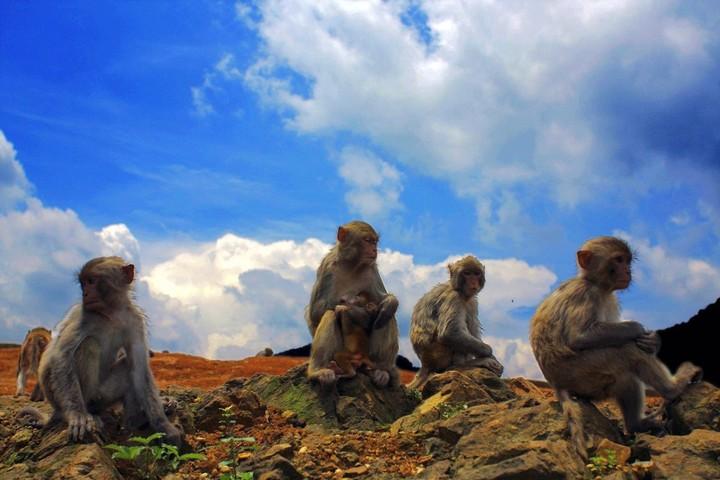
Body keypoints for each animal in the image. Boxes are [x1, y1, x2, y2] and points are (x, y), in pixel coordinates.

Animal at [306, 220, 402, 386]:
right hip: (341, 352)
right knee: (330, 314)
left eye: (374, 241)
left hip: (369, 353)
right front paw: (353, 310)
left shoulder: (371, 270)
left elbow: (382, 301)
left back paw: (382, 370)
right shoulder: (328, 269)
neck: (352, 264)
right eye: (367, 240)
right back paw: (318, 371)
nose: (374, 250)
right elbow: (316, 312)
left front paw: (389, 303)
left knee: (386, 317)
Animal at [408, 255, 504, 390]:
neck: (458, 290)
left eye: (476, 274)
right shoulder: (453, 298)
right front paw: (489, 354)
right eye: (467, 273)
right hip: (438, 355)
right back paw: (462, 365)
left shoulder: (472, 302)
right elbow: (450, 333)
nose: (473, 282)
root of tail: (425, 364)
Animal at [528, 238, 704, 456]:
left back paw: (636, 424)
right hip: (580, 373)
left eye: (628, 261)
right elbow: (579, 337)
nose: (628, 271)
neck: (596, 284)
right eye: (618, 260)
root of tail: (556, 384)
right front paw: (636, 328)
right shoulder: (586, 294)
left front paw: (653, 341)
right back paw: (672, 389)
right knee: (626, 352)